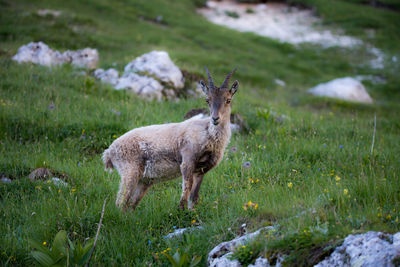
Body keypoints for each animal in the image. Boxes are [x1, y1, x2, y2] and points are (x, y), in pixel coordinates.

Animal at [103, 68, 239, 211]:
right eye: (207, 100)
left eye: (228, 100)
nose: (215, 119)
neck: (208, 134)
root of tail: (109, 152)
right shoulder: (188, 161)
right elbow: (186, 190)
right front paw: (181, 211)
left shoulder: (201, 170)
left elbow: (194, 197)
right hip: (130, 171)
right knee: (120, 202)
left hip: (143, 181)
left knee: (129, 205)